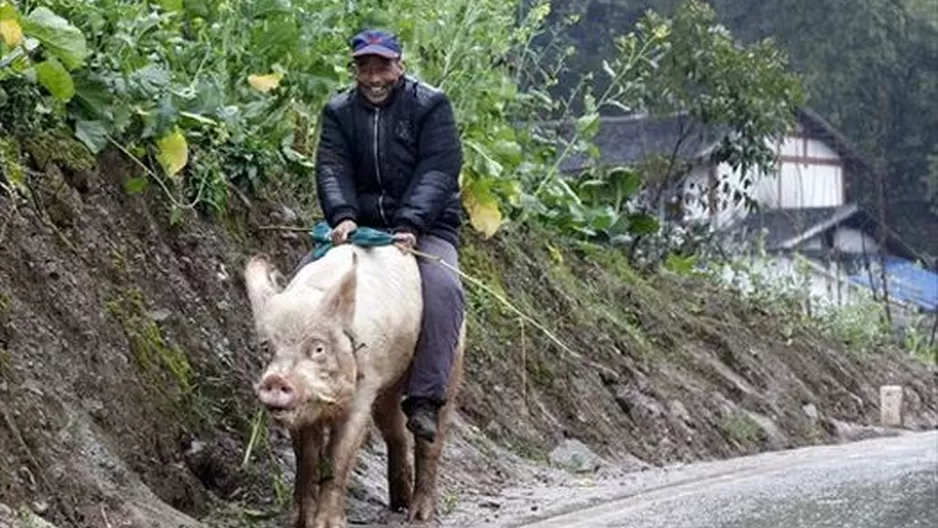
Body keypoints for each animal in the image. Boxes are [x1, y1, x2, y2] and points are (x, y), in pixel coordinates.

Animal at [241, 244, 460, 528]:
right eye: (267, 347)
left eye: (319, 348)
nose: (275, 380)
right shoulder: (304, 411)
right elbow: (307, 458)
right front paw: (300, 522)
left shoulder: (364, 391)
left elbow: (339, 455)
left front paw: (327, 524)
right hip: (387, 390)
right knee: (395, 430)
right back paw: (399, 503)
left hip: (453, 359)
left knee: (432, 437)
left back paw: (419, 515)